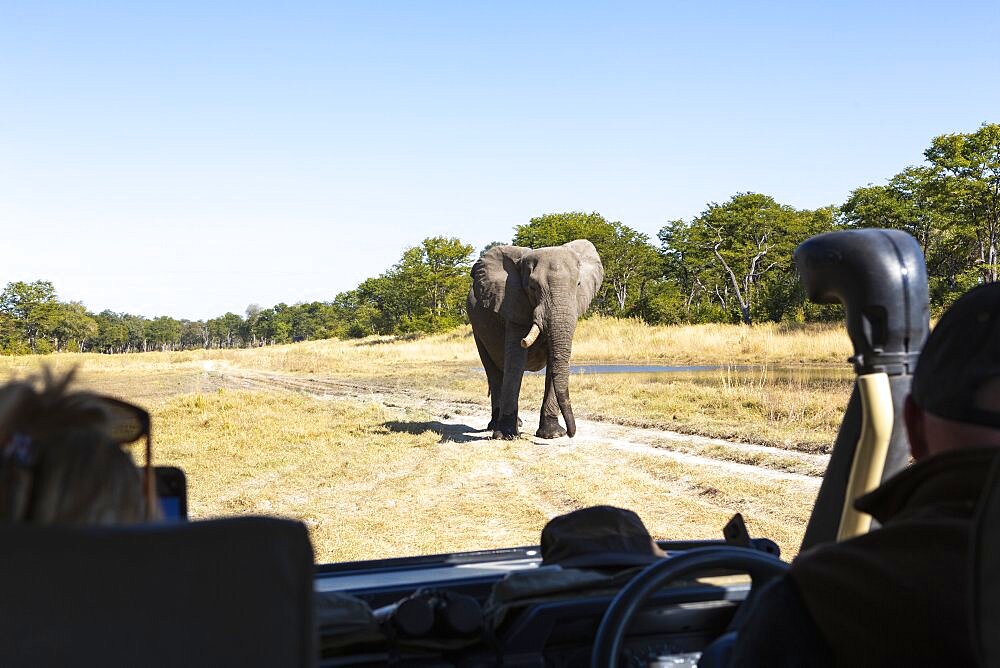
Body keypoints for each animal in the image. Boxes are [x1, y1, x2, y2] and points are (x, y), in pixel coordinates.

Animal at [466, 239, 600, 438]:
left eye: (578, 284)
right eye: (533, 287)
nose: (570, 433)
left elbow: (554, 362)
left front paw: (553, 434)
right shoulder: (513, 304)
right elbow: (516, 361)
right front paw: (506, 435)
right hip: (477, 329)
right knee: (494, 372)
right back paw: (496, 426)